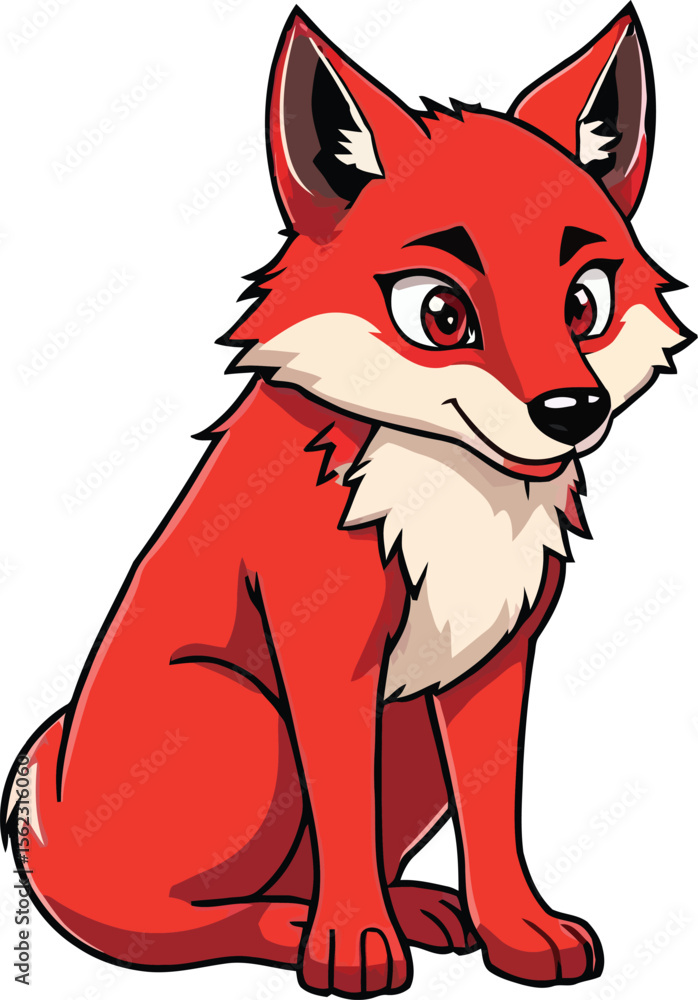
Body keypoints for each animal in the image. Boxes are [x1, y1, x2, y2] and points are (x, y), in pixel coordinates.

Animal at [3, 5, 692, 995]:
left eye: (584, 304)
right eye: (441, 314)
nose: (573, 410)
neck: (451, 500)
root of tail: (38, 823)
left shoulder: (496, 659)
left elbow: (494, 816)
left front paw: (516, 932)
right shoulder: (326, 656)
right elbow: (343, 815)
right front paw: (353, 945)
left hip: (403, 733)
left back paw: (417, 910)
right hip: (245, 719)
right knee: (164, 927)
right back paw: (294, 929)